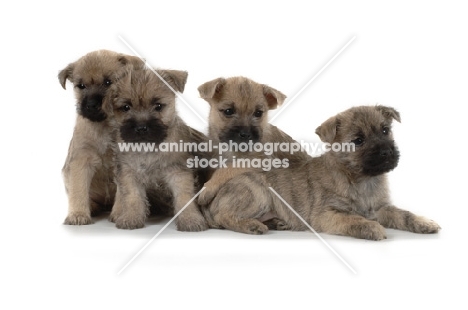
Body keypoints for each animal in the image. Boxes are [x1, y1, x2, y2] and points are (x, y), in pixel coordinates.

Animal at [59, 50, 145, 225]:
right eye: (81, 86)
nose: (91, 105)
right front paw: (78, 214)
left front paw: (121, 213)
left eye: (107, 82)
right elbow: (78, 190)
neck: (104, 126)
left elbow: (123, 192)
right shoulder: (81, 161)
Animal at [109, 66, 208, 230]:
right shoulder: (128, 172)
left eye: (158, 106)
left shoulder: (178, 172)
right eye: (126, 107)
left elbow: (184, 196)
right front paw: (131, 217)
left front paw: (190, 219)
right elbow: (132, 196)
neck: (148, 148)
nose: (141, 128)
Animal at [197, 75, 310, 206]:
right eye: (228, 111)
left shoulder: (260, 161)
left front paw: (209, 187)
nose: (246, 134)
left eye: (258, 113)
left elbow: (229, 167)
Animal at [204, 104, 438, 240]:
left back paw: (276, 222)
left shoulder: (381, 208)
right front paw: (371, 227)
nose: (387, 151)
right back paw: (252, 225)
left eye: (385, 130)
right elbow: (351, 219)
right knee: (224, 216)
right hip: (257, 192)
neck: (361, 180)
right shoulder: (326, 214)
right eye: (358, 141)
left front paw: (423, 222)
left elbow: (403, 214)